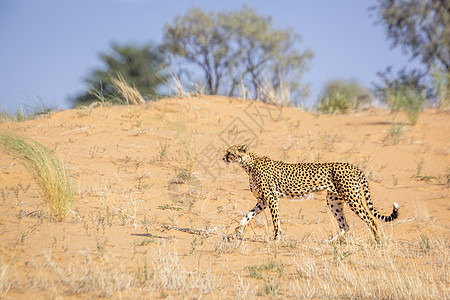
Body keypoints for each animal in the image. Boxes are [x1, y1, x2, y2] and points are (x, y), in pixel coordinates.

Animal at [223, 144, 400, 243]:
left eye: (230, 152)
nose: (223, 158)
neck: (249, 164)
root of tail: (352, 166)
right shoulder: (263, 201)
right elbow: (247, 216)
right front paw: (237, 231)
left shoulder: (271, 199)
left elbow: (275, 221)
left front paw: (276, 239)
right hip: (334, 201)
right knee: (344, 225)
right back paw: (329, 242)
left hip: (352, 198)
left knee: (370, 219)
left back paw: (377, 242)